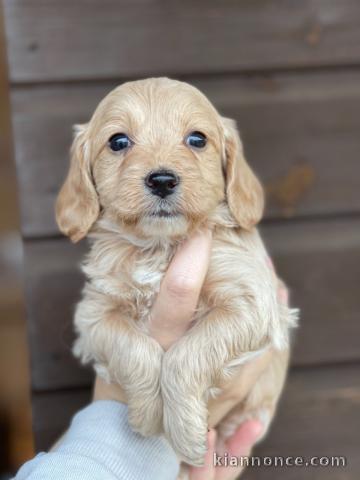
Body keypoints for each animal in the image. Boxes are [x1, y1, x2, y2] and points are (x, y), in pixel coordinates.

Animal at [56, 77, 296, 466]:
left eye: (197, 139)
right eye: (118, 141)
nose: (162, 180)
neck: (159, 247)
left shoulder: (252, 302)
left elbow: (186, 355)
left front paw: (185, 433)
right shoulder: (95, 314)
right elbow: (134, 348)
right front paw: (147, 416)